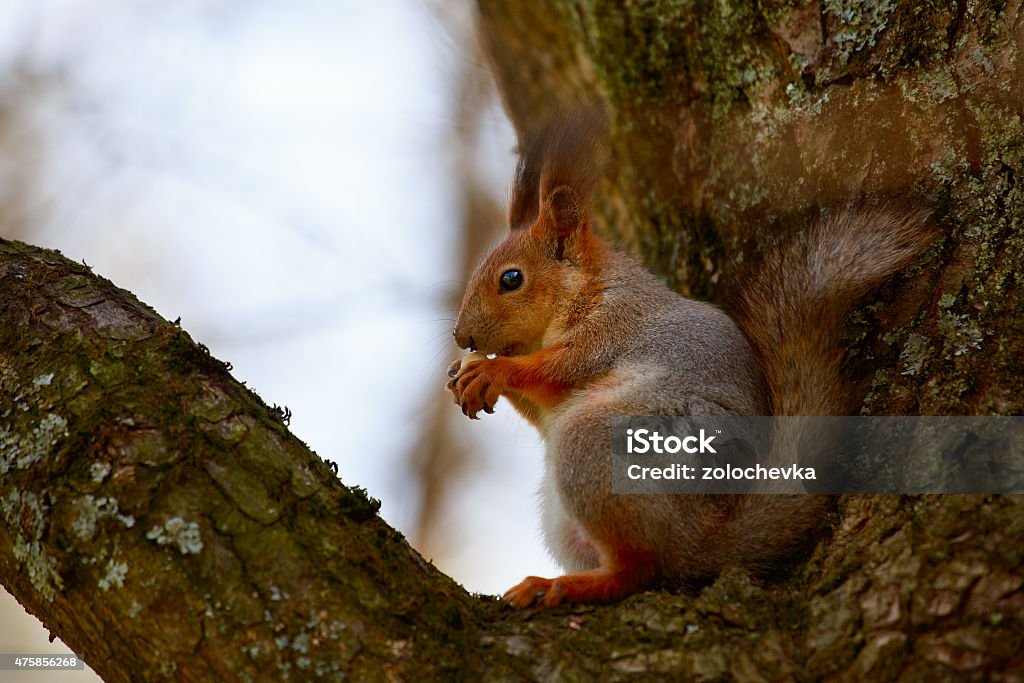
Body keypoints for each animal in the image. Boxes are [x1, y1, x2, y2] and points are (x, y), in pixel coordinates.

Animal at [444, 107, 937, 610]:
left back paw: (568, 584)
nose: (462, 336)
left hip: (602, 443)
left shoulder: (613, 326)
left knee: (640, 569)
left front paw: (492, 369)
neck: (587, 290)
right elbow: (540, 406)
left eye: (511, 279)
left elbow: (558, 370)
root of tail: (703, 539)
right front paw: (461, 373)